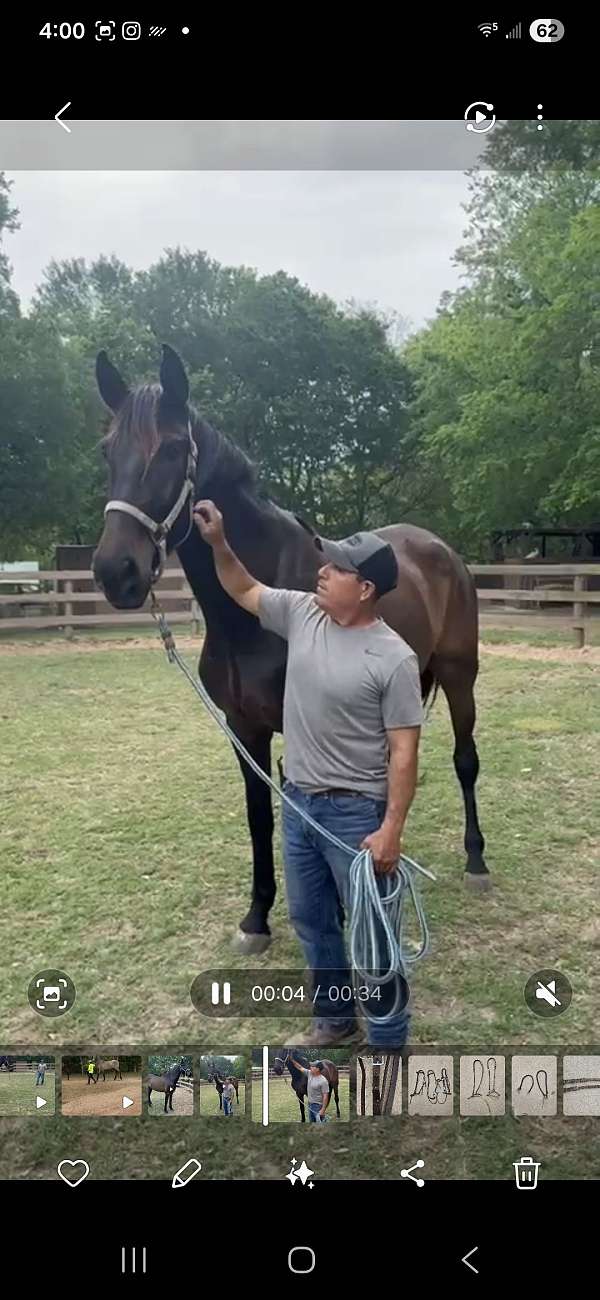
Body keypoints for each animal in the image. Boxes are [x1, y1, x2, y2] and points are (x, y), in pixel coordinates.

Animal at [92, 345, 487, 954]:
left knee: (465, 760)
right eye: (108, 450)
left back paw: (475, 862)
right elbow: (260, 813)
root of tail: (437, 546)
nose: (117, 572)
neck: (250, 616)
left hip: (459, 673)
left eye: (175, 449)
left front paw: (341, 912)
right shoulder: (244, 727)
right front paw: (256, 917)